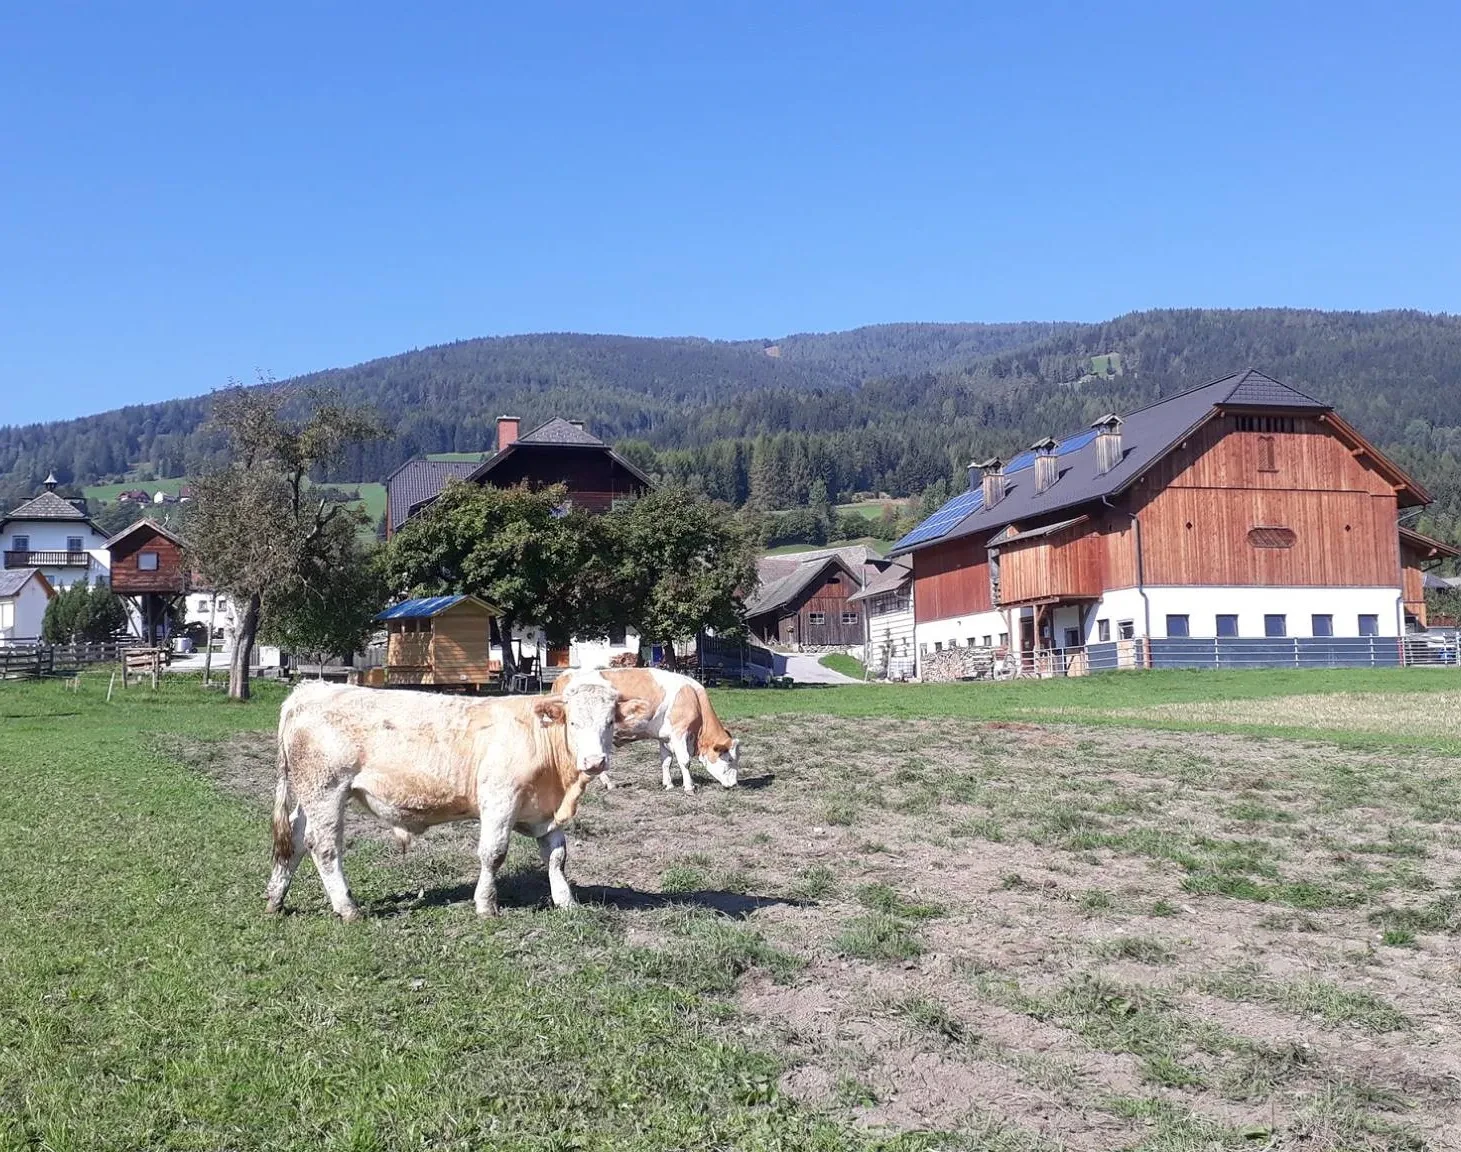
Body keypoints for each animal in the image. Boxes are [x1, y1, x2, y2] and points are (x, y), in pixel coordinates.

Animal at [555, 665, 742, 788]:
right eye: (730, 759)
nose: (734, 784)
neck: (692, 696)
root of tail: (565, 674)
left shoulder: (664, 737)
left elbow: (666, 761)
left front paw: (668, 785)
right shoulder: (679, 732)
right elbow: (685, 760)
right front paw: (689, 787)